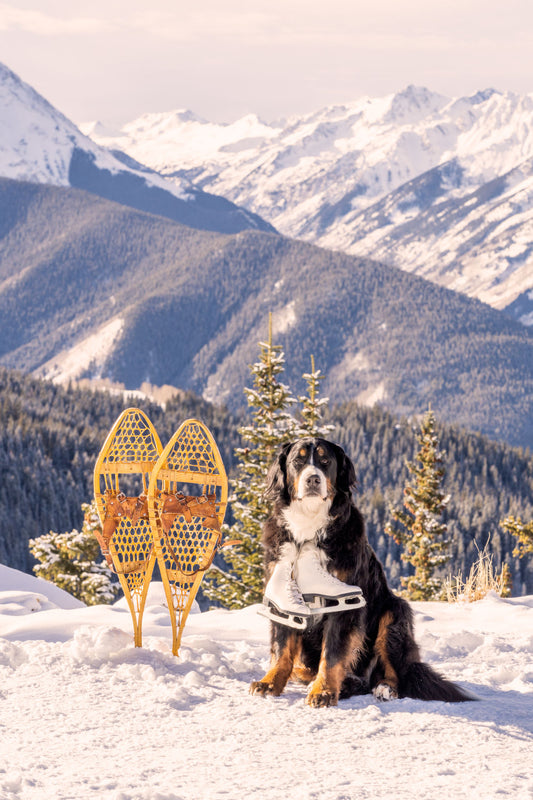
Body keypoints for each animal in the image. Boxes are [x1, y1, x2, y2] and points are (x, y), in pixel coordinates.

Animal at [249, 438, 470, 708]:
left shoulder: (345, 603)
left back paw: (381, 687)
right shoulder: (283, 598)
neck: (308, 527)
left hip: (393, 615)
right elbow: (282, 648)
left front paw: (323, 691)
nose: (313, 479)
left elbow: (333, 654)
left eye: (325, 461)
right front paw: (270, 683)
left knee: (389, 672)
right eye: (297, 461)